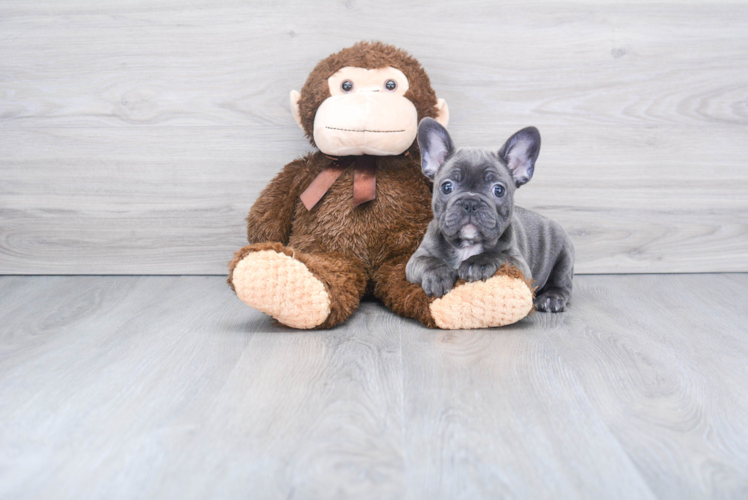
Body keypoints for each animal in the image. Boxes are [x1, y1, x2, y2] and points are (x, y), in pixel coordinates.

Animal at [410, 117, 572, 312]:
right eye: (447, 187)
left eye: (499, 190)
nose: (470, 202)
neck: (468, 245)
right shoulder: (416, 259)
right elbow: (429, 262)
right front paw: (439, 276)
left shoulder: (520, 265)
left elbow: (500, 256)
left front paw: (478, 262)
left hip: (564, 254)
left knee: (562, 283)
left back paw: (551, 298)